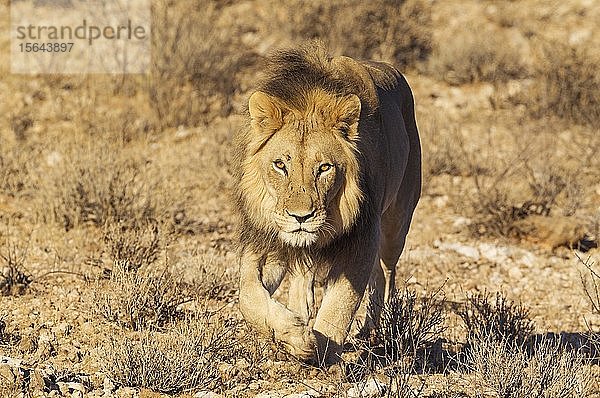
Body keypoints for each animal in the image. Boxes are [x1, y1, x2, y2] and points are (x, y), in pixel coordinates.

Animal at [233, 45, 422, 364]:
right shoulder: (267, 244)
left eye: (324, 168)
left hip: (395, 226)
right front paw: (295, 335)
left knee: (386, 275)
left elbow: (339, 307)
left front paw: (321, 353)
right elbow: (248, 296)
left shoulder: (362, 240)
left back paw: (373, 331)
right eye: (280, 165)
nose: (301, 217)